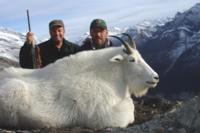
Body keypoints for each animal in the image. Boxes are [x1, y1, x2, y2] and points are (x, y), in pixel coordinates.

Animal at [0, 39, 159, 129]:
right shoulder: (105, 117)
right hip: (15, 89)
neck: (104, 76)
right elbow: (130, 109)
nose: (155, 77)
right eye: (132, 60)